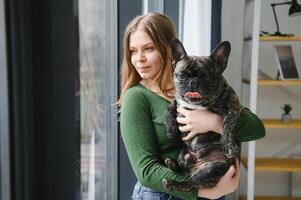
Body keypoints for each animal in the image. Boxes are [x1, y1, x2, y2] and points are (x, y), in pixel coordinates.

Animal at [162, 38, 241, 191]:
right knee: (184, 170)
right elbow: (169, 107)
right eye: (182, 75)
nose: (193, 81)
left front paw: (228, 145)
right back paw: (172, 163)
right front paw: (170, 128)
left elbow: (227, 126)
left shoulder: (233, 108)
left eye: (207, 77)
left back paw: (171, 182)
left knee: (189, 183)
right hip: (183, 154)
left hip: (213, 168)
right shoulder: (178, 100)